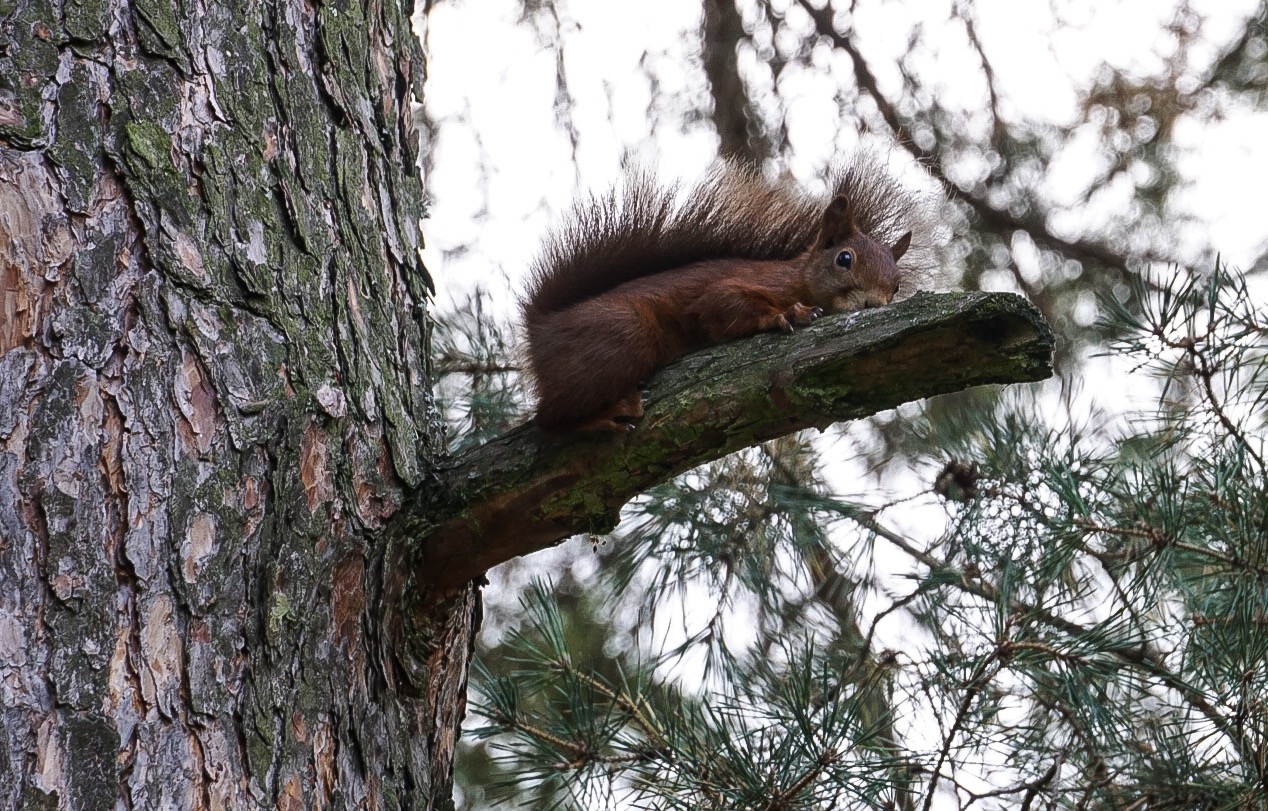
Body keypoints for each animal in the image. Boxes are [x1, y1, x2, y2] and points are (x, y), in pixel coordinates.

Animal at [517, 154, 933, 430]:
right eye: (844, 259)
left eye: (896, 285)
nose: (874, 303)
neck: (799, 278)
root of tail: (541, 330)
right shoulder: (743, 286)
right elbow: (721, 303)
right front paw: (785, 314)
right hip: (622, 331)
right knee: (549, 420)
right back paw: (606, 416)